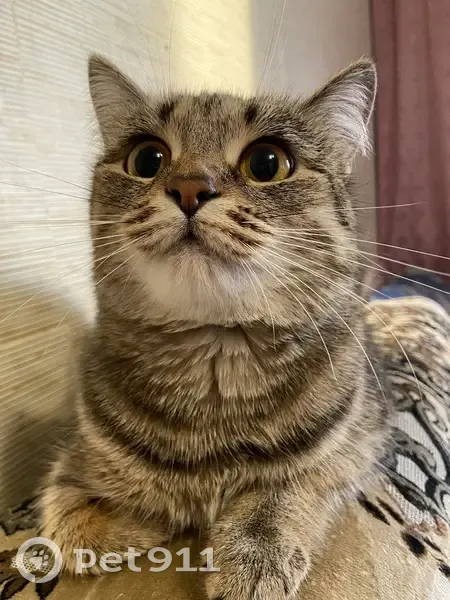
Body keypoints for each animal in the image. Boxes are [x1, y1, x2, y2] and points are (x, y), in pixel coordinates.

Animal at [39, 55, 388, 599]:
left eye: (267, 163)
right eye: (146, 159)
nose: (189, 187)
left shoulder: (360, 441)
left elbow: (290, 485)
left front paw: (253, 548)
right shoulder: (70, 471)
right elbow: (78, 522)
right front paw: (158, 516)